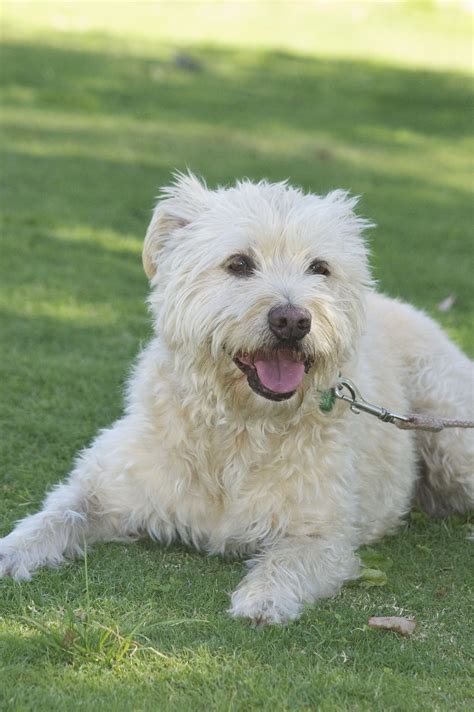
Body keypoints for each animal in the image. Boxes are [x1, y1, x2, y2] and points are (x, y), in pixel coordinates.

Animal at [0, 174, 474, 624]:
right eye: (239, 263)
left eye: (319, 268)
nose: (293, 320)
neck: (239, 427)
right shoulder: (104, 487)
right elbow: (55, 516)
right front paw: (10, 552)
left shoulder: (324, 533)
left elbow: (291, 559)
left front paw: (264, 598)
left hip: (452, 440)